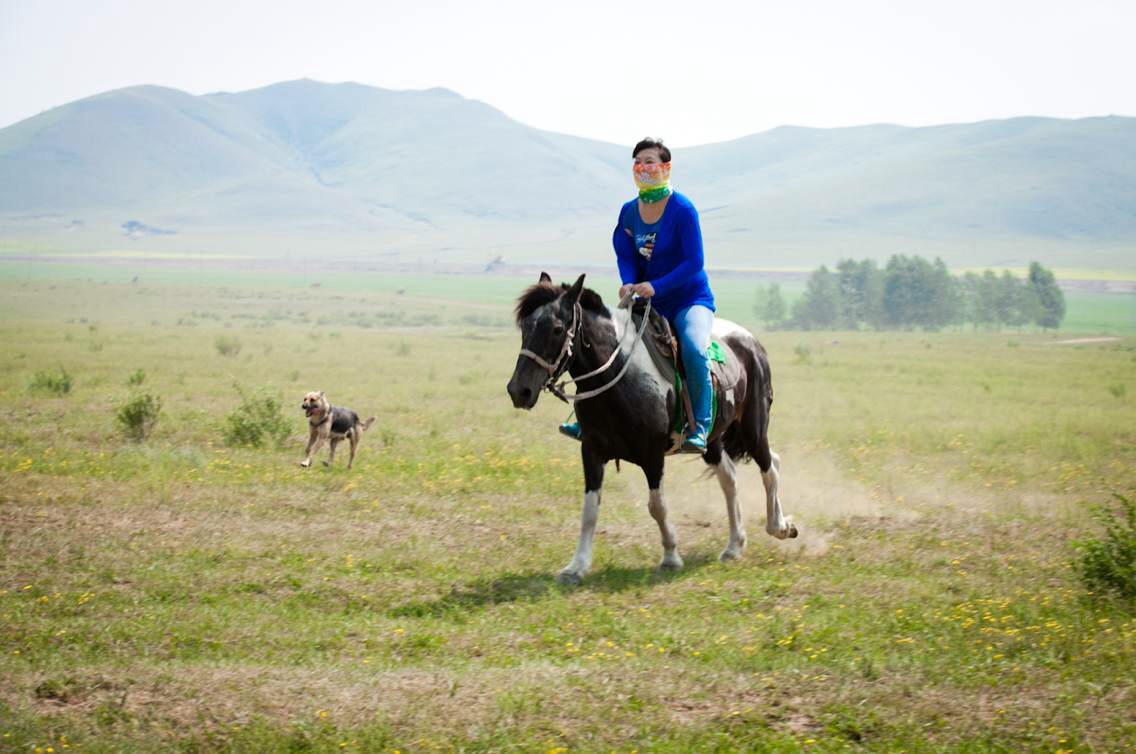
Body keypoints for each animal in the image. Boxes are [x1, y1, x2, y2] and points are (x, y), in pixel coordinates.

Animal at [508, 273, 799, 585]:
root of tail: (751, 342)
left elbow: (657, 506)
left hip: (753, 429)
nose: (519, 390)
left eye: (557, 329)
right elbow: (589, 510)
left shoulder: (652, 455)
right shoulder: (592, 451)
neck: (619, 374)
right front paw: (576, 566)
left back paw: (780, 526)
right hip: (713, 442)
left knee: (770, 467)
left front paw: (670, 556)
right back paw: (734, 546)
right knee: (730, 480)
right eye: (525, 327)